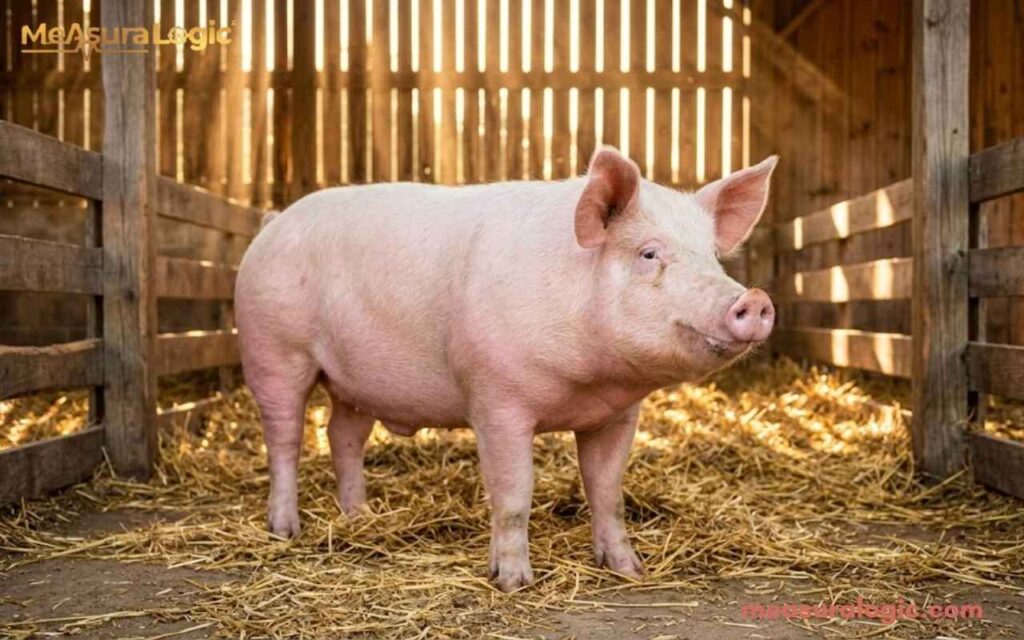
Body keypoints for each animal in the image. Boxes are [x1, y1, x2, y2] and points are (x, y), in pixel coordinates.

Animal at [235, 147, 777, 592]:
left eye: (713, 256)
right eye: (649, 253)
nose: (753, 299)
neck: (590, 382)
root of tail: (272, 224)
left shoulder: (619, 414)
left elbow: (608, 492)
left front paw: (629, 570)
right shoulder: (496, 398)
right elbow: (514, 495)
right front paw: (514, 583)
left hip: (353, 381)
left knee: (342, 435)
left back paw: (359, 516)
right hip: (273, 349)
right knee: (284, 437)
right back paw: (284, 529)